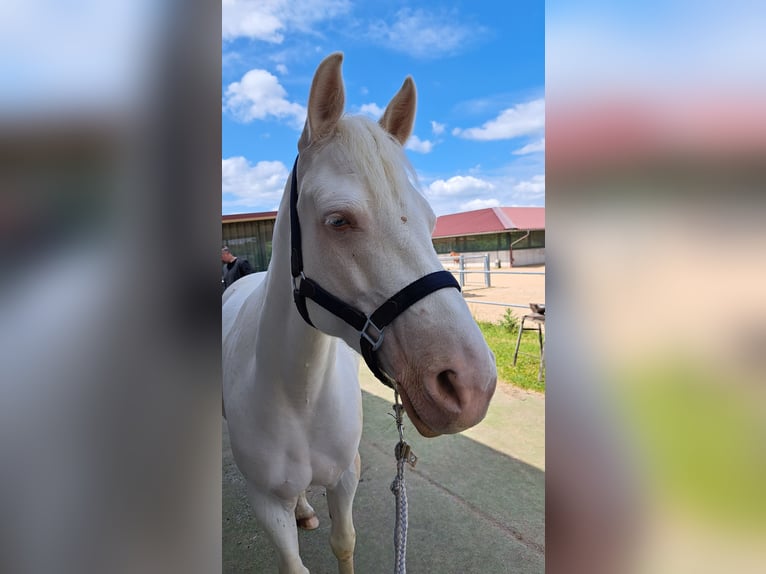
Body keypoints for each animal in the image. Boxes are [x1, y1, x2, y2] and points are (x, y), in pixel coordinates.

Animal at [224, 54, 498, 574]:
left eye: (432, 220)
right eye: (338, 220)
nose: (471, 385)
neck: (298, 393)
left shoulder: (345, 477)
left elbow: (344, 542)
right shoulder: (265, 502)